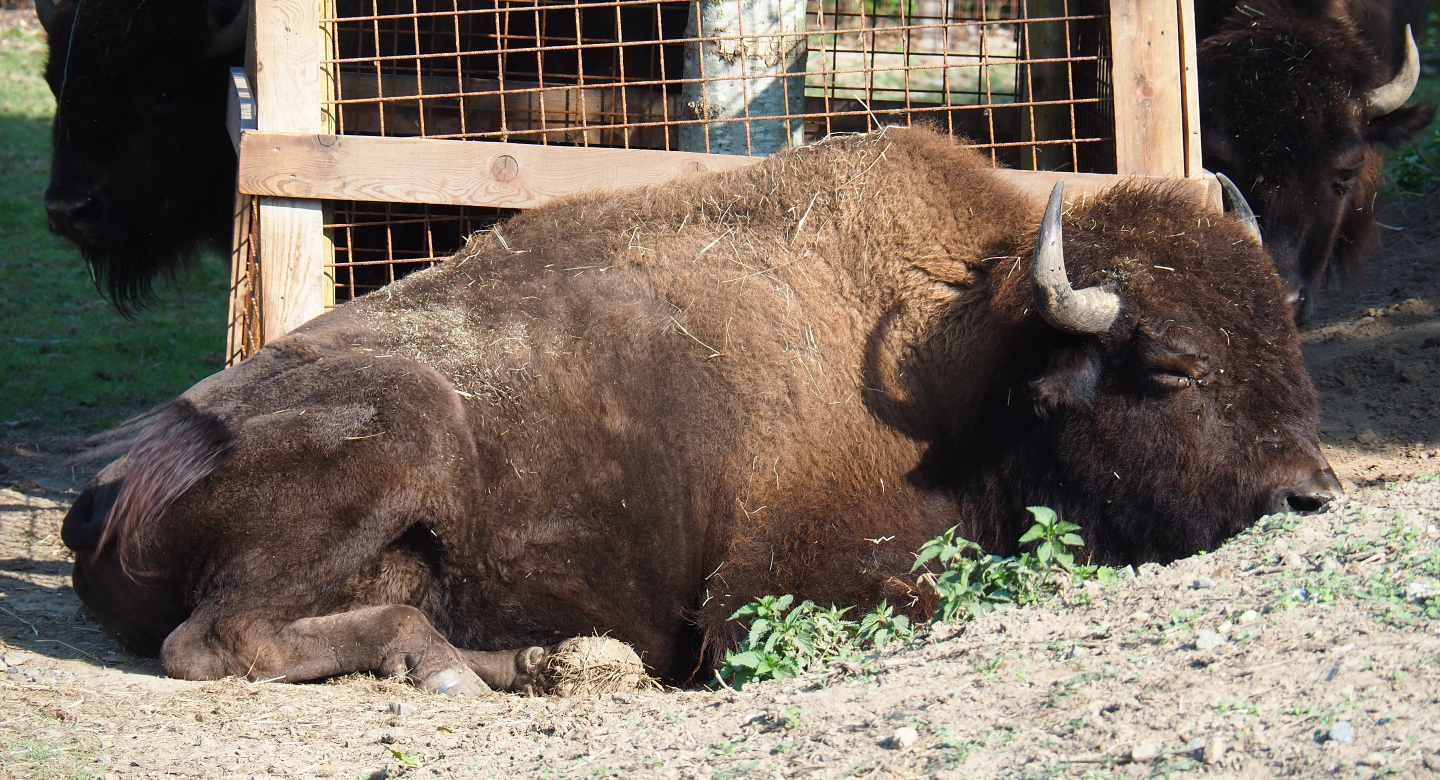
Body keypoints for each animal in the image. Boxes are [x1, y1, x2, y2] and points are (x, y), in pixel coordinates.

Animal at [62, 128, 1338, 692]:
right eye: (1169, 364)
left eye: (1288, 338)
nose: (1310, 496)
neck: (972, 361)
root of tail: (109, 481)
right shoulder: (774, 590)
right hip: (400, 431)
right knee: (215, 639)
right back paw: (478, 664)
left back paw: (535, 660)